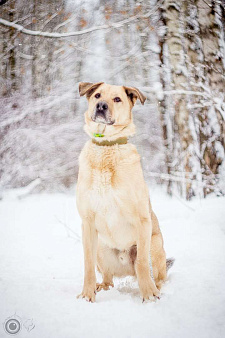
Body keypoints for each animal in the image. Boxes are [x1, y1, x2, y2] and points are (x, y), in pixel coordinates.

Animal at [76, 82, 168, 304]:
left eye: (117, 99)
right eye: (97, 95)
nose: (101, 106)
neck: (106, 147)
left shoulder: (142, 220)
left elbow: (142, 262)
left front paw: (149, 295)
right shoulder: (88, 223)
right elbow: (87, 265)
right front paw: (87, 295)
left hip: (155, 244)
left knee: (156, 275)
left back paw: (156, 288)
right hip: (101, 247)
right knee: (108, 279)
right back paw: (101, 287)